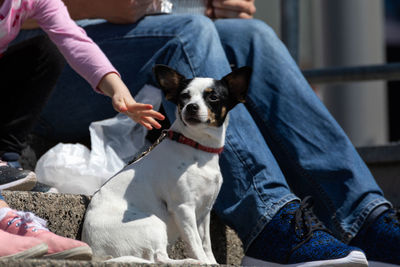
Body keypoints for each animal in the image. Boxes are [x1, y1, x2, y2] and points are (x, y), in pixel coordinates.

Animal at [81, 64, 250, 264]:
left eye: (213, 97)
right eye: (184, 96)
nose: (191, 106)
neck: (197, 147)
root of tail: (96, 254)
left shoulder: (204, 212)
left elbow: (206, 243)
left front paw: (213, 263)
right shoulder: (184, 208)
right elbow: (196, 244)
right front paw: (204, 262)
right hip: (152, 222)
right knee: (159, 258)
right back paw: (189, 262)